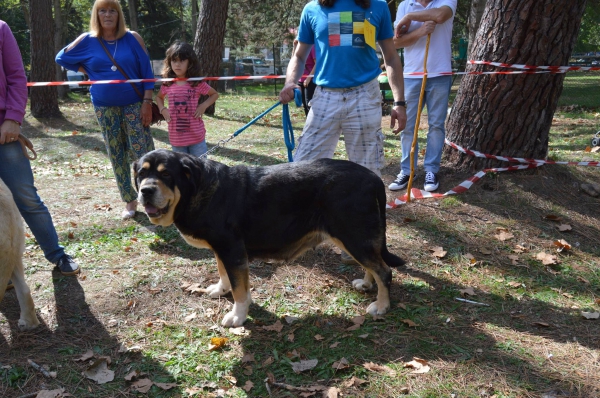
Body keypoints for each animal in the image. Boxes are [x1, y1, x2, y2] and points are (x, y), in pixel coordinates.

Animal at [134, 149, 406, 326]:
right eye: (141, 174)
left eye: (166, 175)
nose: (144, 191)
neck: (198, 189)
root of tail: (373, 177)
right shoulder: (223, 250)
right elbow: (224, 274)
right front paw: (221, 289)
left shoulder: (233, 251)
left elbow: (240, 291)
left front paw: (237, 316)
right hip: (355, 239)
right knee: (373, 265)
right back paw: (366, 284)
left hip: (352, 235)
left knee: (384, 271)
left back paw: (382, 306)